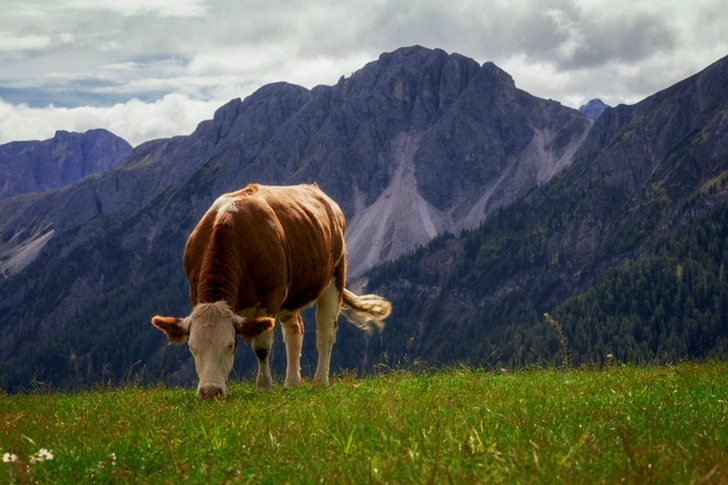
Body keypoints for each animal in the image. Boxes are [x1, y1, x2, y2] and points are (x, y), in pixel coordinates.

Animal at [151, 183, 391, 398]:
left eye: (230, 345)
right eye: (192, 347)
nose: (210, 392)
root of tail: (316, 189)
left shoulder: (270, 298)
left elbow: (261, 347)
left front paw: (264, 386)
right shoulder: (194, 294)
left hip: (334, 277)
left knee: (325, 332)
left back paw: (320, 381)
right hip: (291, 295)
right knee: (295, 330)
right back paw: (292, 382)